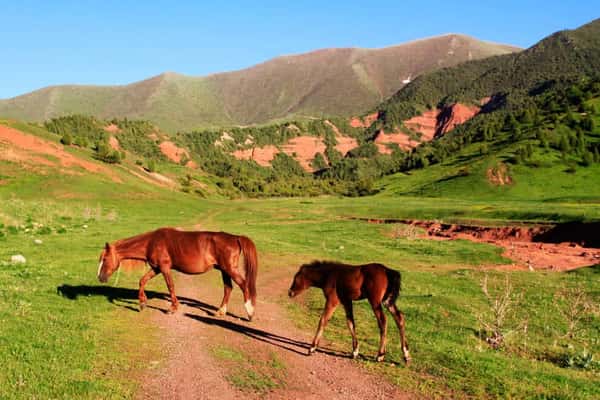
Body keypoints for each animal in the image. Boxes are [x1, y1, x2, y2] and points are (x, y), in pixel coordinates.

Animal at [96, 228, 258, 318]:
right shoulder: (156, 268)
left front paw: (172, 308)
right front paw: (142, 303)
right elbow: (142, 281)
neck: (151, 242)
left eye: (105, 259)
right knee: (228, 288)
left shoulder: (164, 268)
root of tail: (235, 238)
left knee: (244, 285)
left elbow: (170, 286)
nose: (100, 278)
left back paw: (250, 312)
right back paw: (220, 312)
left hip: (230, 269)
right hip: (224, 270)